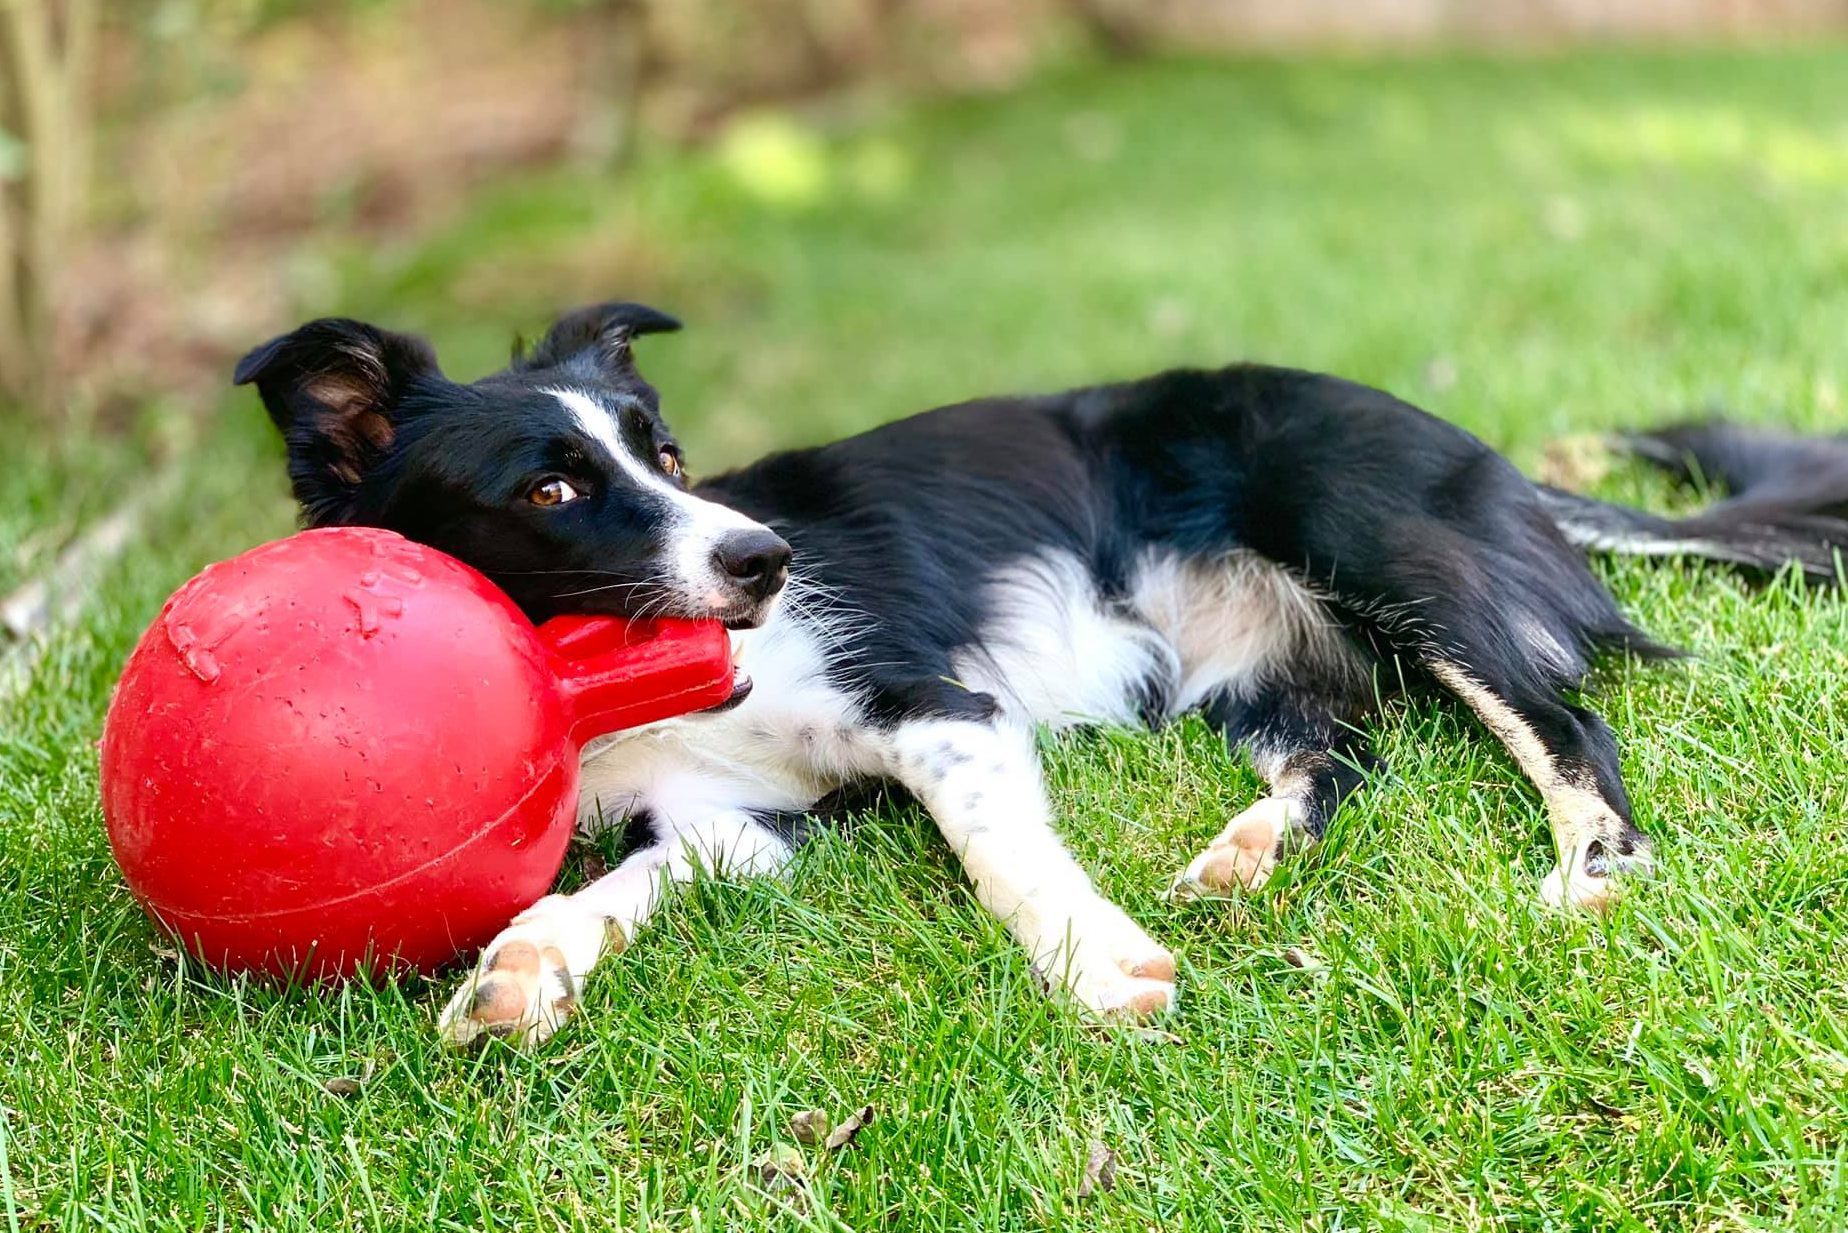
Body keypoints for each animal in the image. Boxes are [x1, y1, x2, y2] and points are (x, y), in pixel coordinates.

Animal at [234, 299, 1848, 1042]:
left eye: (669, 456)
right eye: (555, 488)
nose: (763, 560)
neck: (630, 688)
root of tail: (1491, 462)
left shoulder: (935, 708)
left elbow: (1001, 854)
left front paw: (1096, 964)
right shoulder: (724, 826)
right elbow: (613, 887)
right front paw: (526, 968)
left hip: (1383, 553)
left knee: (1566, 720)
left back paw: (1588, 865)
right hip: (1249, 675)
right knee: (1345, 754)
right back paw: (1245, 852)